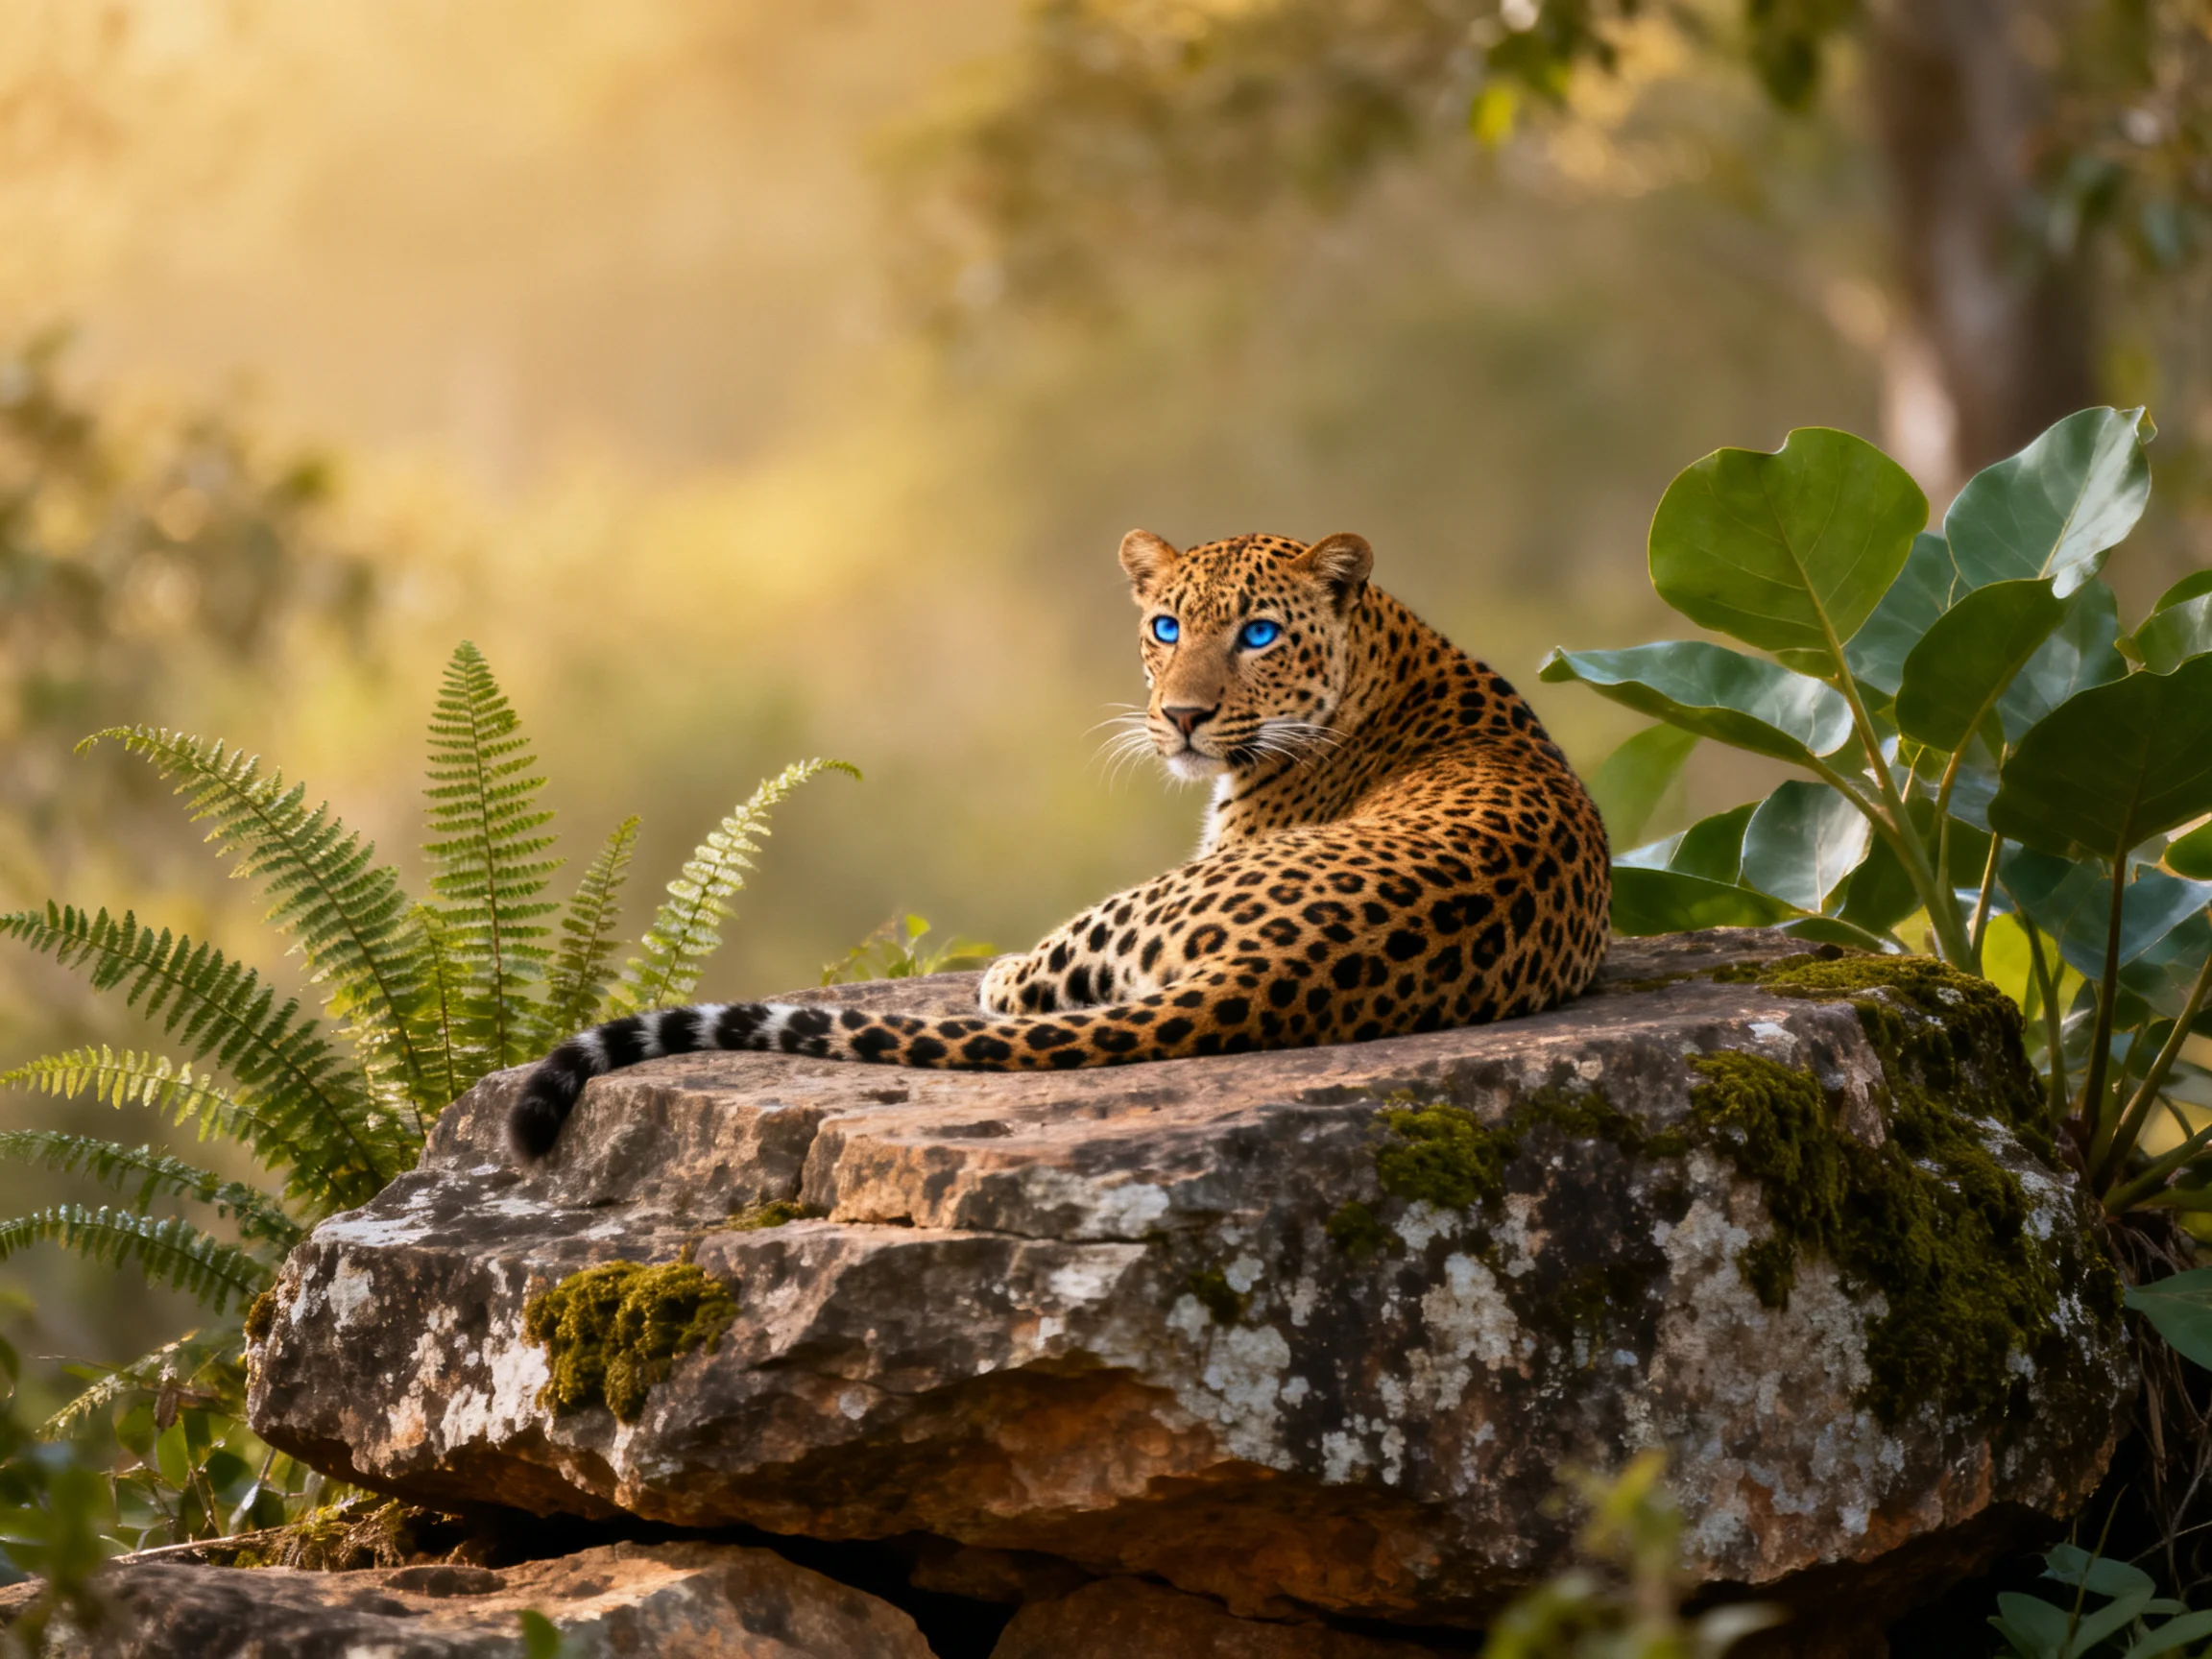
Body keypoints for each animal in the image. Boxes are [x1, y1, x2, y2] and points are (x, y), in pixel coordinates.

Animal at [509, 528, 1611, 1160]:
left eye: (1257, 634)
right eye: (1164, 627)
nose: (1183, 718)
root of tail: (1278, 972)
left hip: (1147, 900)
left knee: (1026, 983)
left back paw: (999, 973)